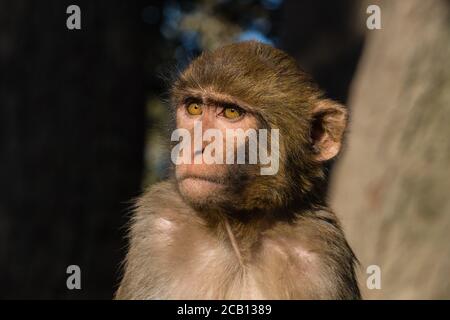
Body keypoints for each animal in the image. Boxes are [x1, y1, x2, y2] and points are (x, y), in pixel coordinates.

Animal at [116, 40, 362, 300]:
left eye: (231, 112)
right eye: (194, 108)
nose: (195, 146)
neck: (238, 232)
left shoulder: (322, 257)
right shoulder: (157, 226)